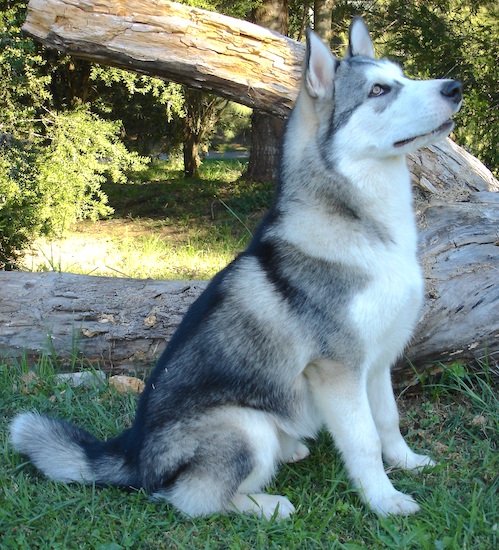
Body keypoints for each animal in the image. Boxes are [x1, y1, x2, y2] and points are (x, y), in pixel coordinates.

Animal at [9, 17, 462, 520]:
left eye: (401, 76)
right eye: (379, 90)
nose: (455, 87)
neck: (369, 226)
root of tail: (133, 455)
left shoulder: (378, 359)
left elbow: (387, 420)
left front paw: (407, 462)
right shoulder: (338, 368)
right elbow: (363, 441)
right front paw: (383, 499)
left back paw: (292, 450)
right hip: (244, 426)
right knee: (191, 498)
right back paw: (269, 504)